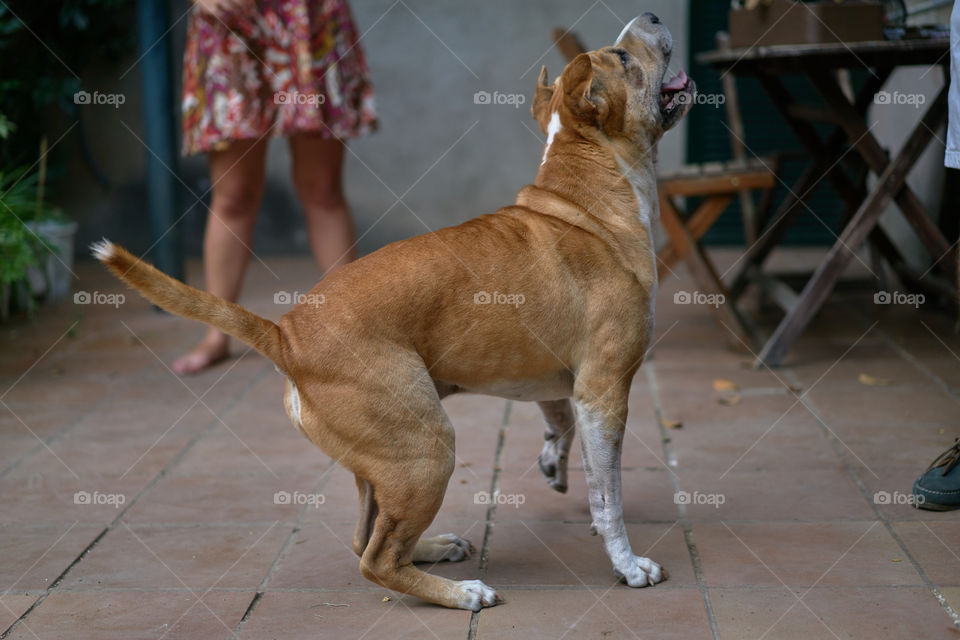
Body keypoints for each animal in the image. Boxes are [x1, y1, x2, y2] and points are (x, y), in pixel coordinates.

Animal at [97, 11, 692, 608]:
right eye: (622, 57)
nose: (652, 14)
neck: (587, 190)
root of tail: (285, 333)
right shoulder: (605, 392)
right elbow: (609, 497)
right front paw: (626, 564)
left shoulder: (562, 381)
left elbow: (566, 429)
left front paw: (555, 461)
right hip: (427, 448)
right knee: (377, 559)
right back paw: (461, 593)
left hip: (383, 461)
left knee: (368, 537)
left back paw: (434, 550)